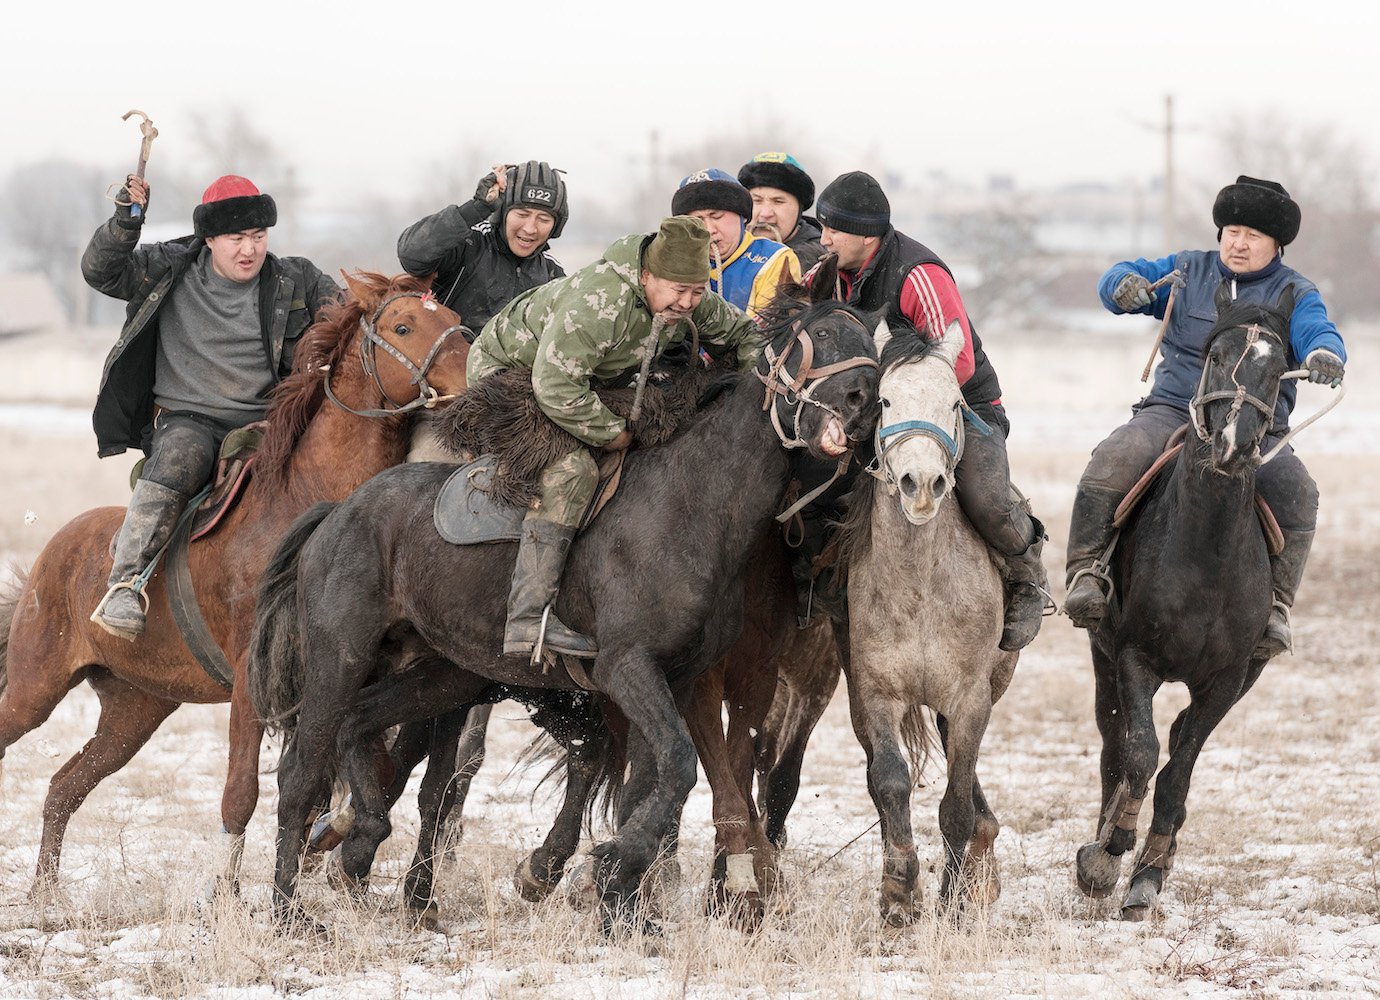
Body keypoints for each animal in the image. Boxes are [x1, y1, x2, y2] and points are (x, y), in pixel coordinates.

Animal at [0, 273, 469, 899]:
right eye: (402, 326)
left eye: (454, 318)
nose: (471, 382)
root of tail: (53, 553)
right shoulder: (253, 679)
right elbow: (242, 793)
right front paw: (227, 891)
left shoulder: (354, 676)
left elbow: (373, 767)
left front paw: (330, 833)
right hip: (35, 689)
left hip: (134, 710)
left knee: (64, 786)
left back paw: (45, 893)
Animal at [248, 300, 877, 932]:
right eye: (823, 333)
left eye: (871, 342)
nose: (864, 398)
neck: (690, 504)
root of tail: (337, 513)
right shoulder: (628, 669)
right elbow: (676, 765)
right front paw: (613, 862)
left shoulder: (671, 679)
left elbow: (648, 781)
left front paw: (622, 904)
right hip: (340, 657)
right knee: (300, 772)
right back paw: (287, 910)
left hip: (438, 675)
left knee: (360, 724)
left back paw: (359, 843)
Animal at [833, 317, 1021, 921]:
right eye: (885, 400)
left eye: (955, 402)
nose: (921, 484)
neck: (919, 589)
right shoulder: (876, 693)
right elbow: (890, 782)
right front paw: (900, 892)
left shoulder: (969, 699)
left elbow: (955, 803)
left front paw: (956, 899)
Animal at [1076, 281, 1302, 921]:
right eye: (1216, 355)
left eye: (1279, 367)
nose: (1234, 445)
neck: (1207, 551)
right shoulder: (1133, 660)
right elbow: (1139, 755)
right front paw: (1108, 853)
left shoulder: (1225, 680)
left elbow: (1178, 770)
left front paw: (1148, 874)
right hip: (1103, 661)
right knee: (1116, 745)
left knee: (1177, 744)